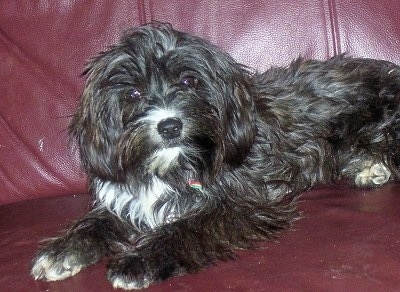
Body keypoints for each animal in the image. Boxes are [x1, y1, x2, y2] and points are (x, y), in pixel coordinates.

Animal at [30, 23, 400, 290]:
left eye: (188, 80)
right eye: (132, 93)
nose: (169, 126)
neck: (173, 166)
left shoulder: (243, 205)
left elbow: (188, 226)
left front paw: (139, 261)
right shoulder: (128, 201)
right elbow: (97, 222)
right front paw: (63, 251)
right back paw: (370, 168)